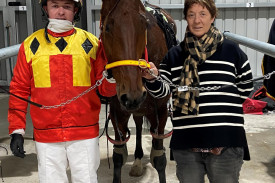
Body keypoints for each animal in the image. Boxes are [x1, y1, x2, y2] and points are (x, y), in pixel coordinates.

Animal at [100, 0, 178, 182]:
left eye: (144, 25)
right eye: (107, 27)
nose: (133, 94)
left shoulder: (161, 111)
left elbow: (159, 159)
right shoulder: (118, 112)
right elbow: (118, 156)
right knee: (138, 122)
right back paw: (137, 160)